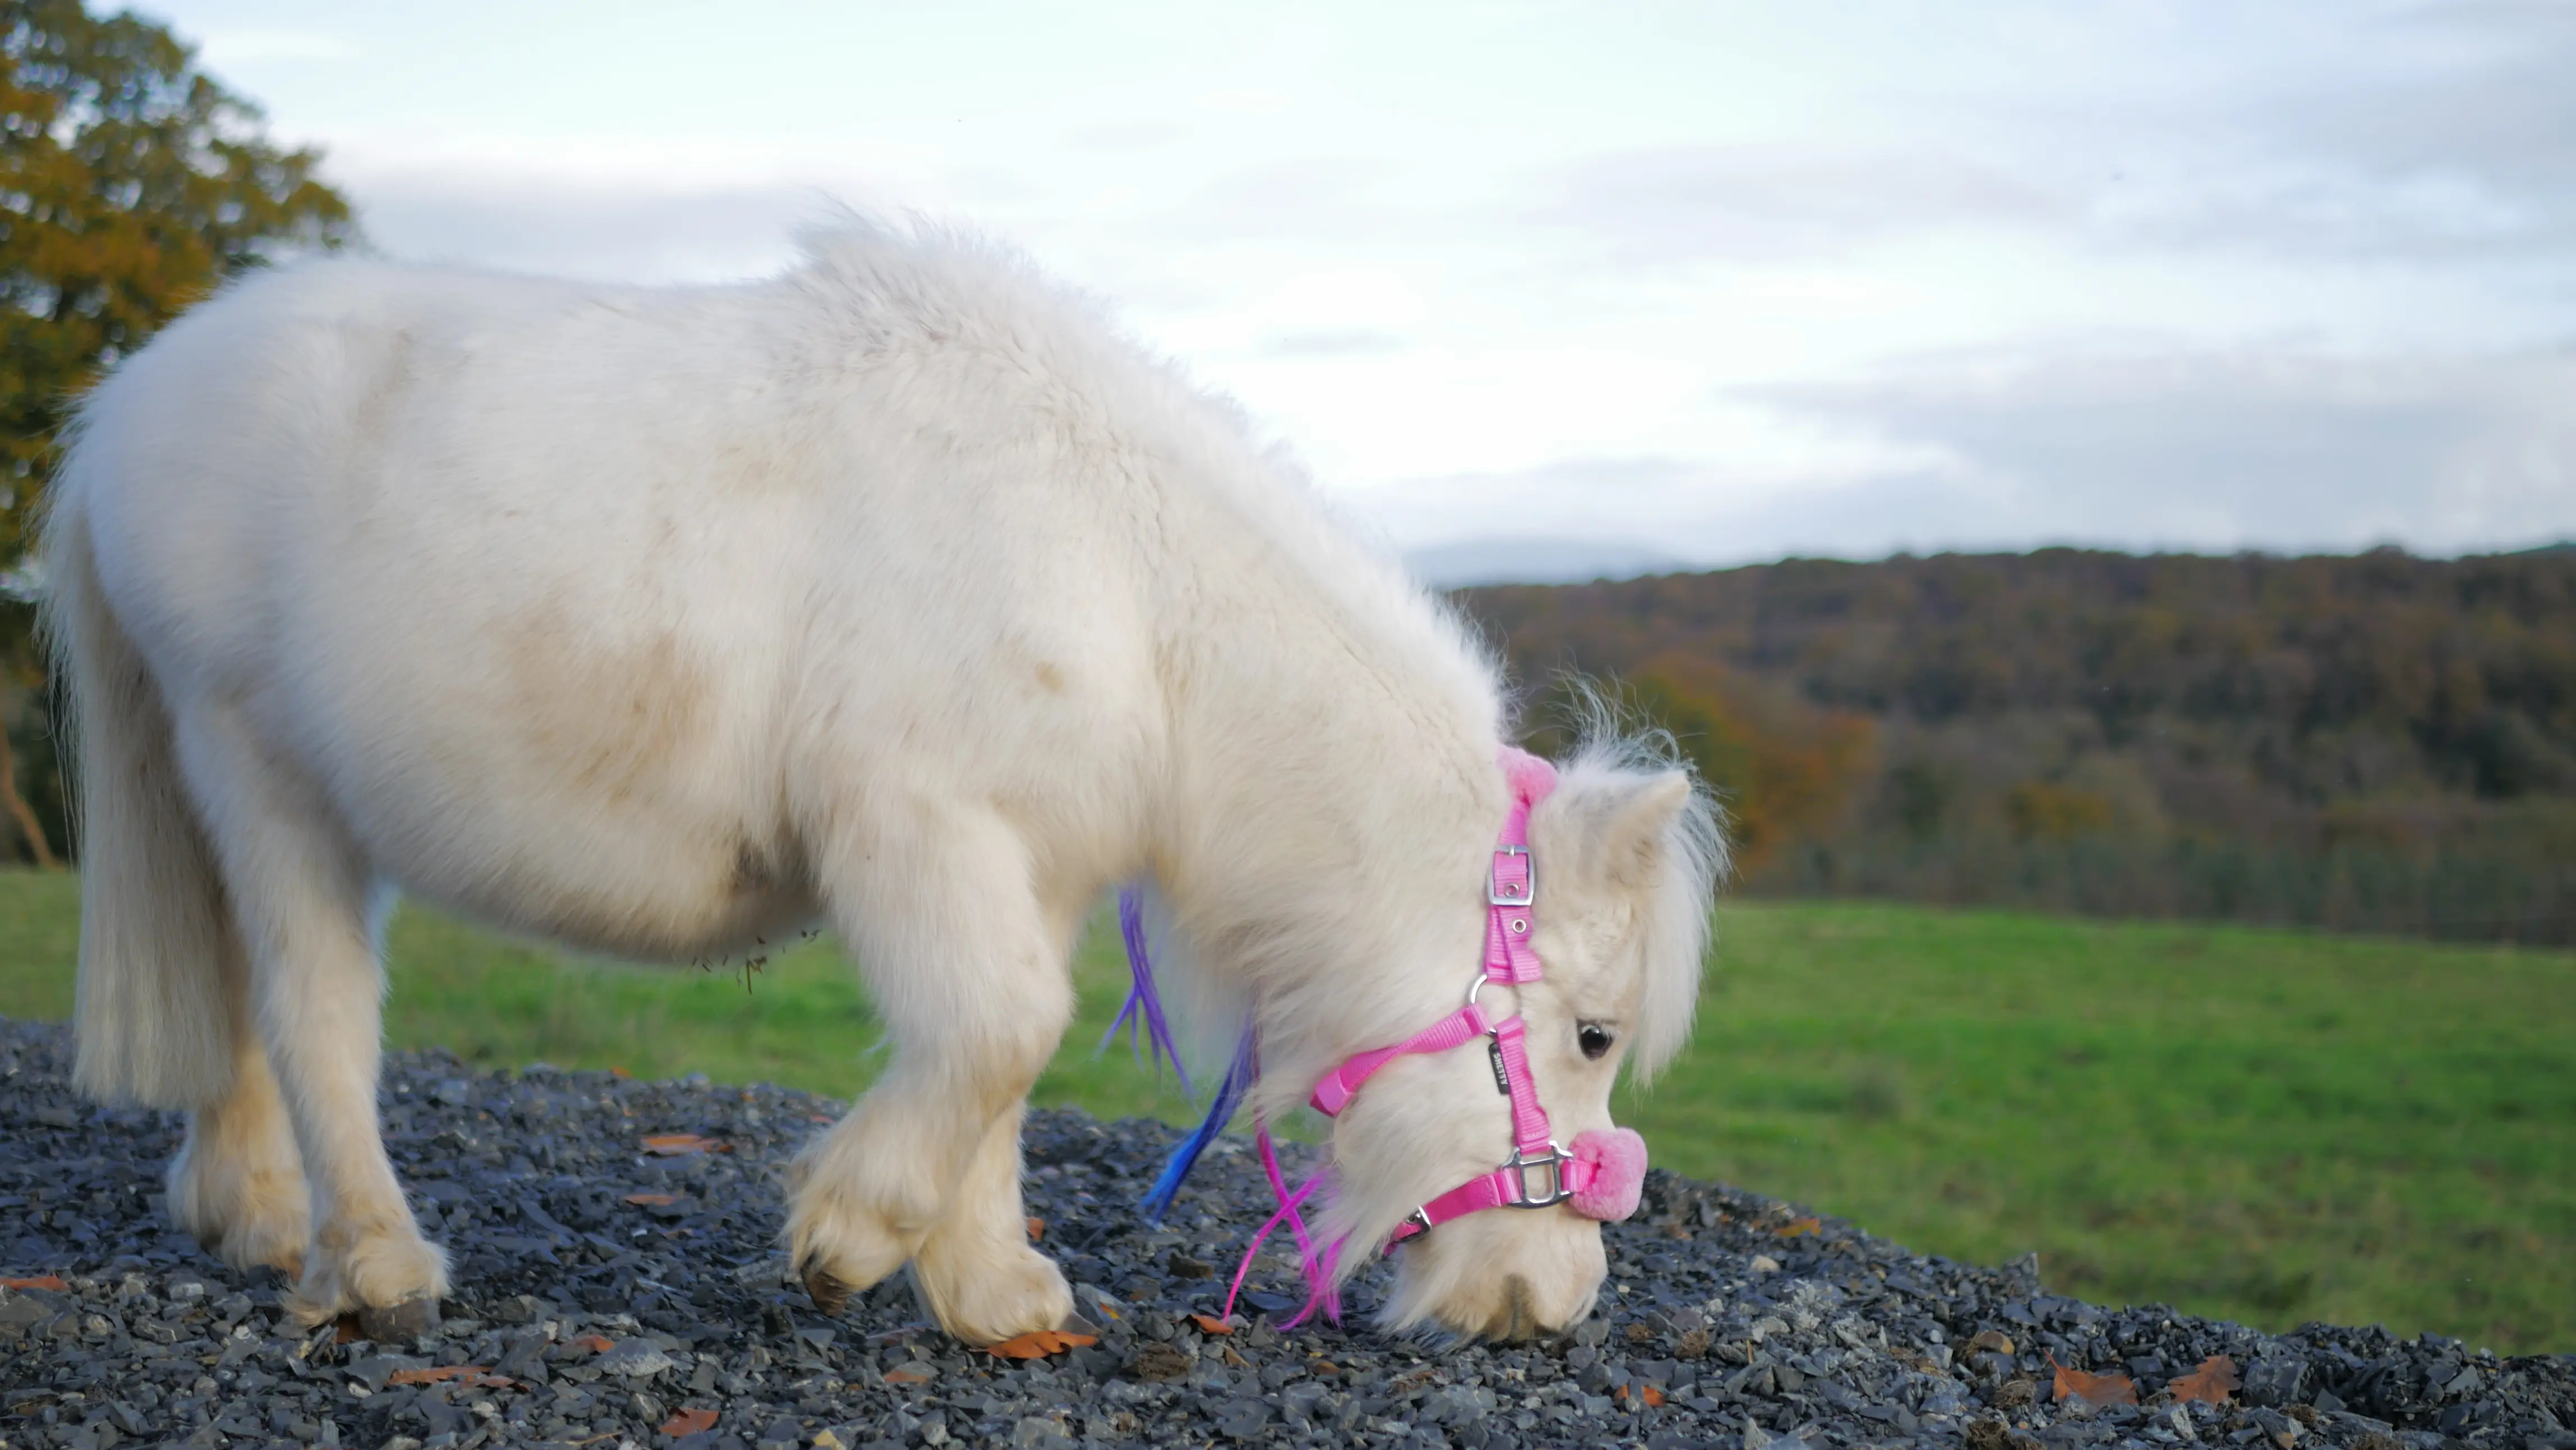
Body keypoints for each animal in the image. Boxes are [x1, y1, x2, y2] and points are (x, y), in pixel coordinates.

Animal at [41, 219, 1724, 1345]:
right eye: (1591, 1035)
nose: (1548, 1301)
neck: (1125, 572)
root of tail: (125, 405)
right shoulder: (919, 828)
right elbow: (995, 1034)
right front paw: (850, 1239)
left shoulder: (1028, 865)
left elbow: (1000, 1071)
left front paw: (991, 1292)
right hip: (261, 770)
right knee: (312, 1011)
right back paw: (374, 1266)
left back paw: (260, 1222)